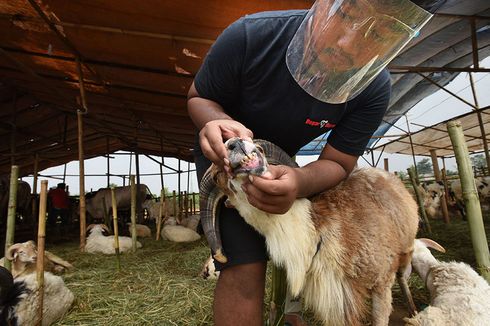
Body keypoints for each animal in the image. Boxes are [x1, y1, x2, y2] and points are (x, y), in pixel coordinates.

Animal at [201, 138, 420, 326]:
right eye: (218, 176)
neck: (314, 232)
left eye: (261, 149)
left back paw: (413, 311)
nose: (235, 143)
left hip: (406, 249)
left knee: (402, 276)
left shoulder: (381, 283)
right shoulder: (336, 301)